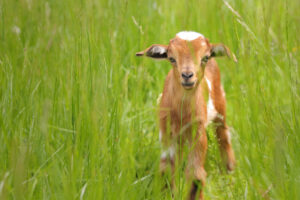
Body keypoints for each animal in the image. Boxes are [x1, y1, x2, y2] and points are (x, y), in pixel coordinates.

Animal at [137, 30, 237, 198]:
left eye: (205, 57)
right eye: (171, 58)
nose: (187, 76)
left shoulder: (198, 132)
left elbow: (196, 175)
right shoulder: (166, 132)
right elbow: (166, 170)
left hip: (220, 107)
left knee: (224, 136)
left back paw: (229, 172)